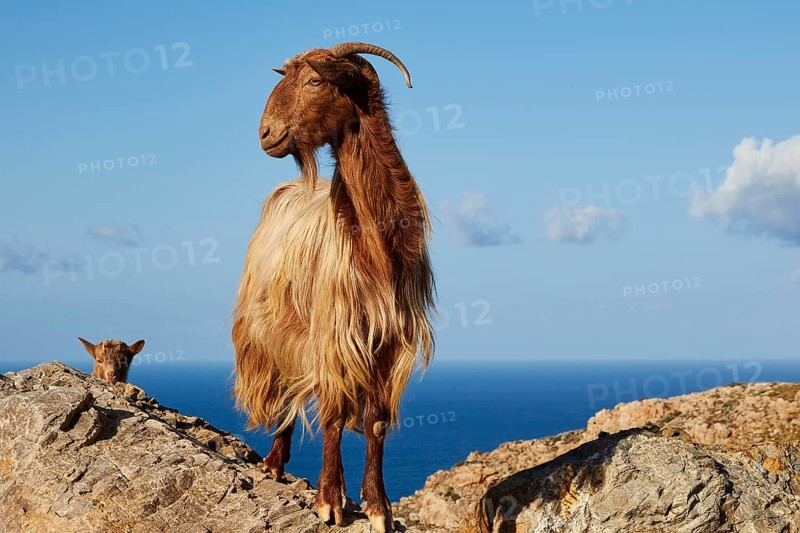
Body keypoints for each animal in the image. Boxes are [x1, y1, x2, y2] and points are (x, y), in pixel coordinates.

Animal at [232, 42, 435, 532]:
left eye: (315, 80)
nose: (266, 133)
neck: (377, 243)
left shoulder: (388, 342)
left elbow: (374, 422)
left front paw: (378, 508)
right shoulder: (335, 333)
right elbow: (333, 416)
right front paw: (328, 501)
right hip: (271, 330)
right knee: (289, 386)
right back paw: (275, 463)